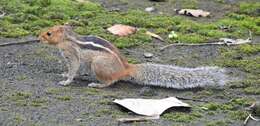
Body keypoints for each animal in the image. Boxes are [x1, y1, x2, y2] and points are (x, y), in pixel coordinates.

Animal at [38, 25, 228, 88]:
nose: (38, 37)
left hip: (98, 65)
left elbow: (73, 68)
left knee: (111, 82)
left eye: (48, 33)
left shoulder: (71, 55)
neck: (67, 38)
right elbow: (73, 69)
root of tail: (126, 68)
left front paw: (66, 81)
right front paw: (64, 74)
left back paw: (96, 85)